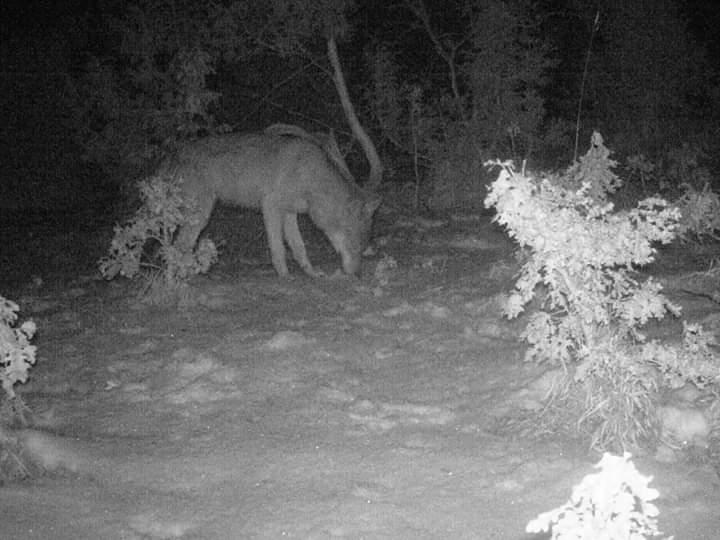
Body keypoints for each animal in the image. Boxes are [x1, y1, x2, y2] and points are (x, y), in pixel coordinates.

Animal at [166, 126, 382, 276]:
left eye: (363, 247)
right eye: (356, 246)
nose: (356, 274)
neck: (311, 177)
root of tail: (173, 153)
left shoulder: (289, 213)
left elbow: (299, 247)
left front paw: (311, 273)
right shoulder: (270, 206)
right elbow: (278, 248)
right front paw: (285, 276)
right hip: (199, 217)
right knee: (177, 248)